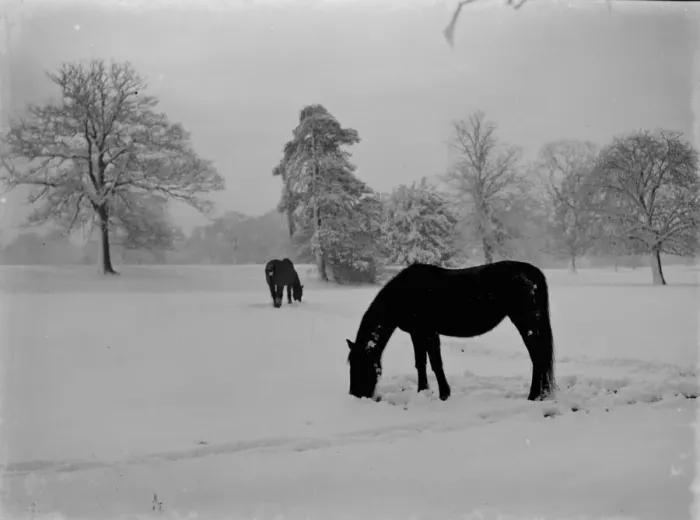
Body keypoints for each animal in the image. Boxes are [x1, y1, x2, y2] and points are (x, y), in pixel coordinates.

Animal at [346, 260, 556, 402]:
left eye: (360, 365)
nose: (355, 394)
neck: (404, 293)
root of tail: (534, 272)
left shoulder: (428, 332)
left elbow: (436, 364)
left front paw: (444, 394)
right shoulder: (417, 333)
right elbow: (421, 363)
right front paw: (423, 391)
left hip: (526, 324)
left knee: (538, 357)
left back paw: (533, 396)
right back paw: (540, 394)